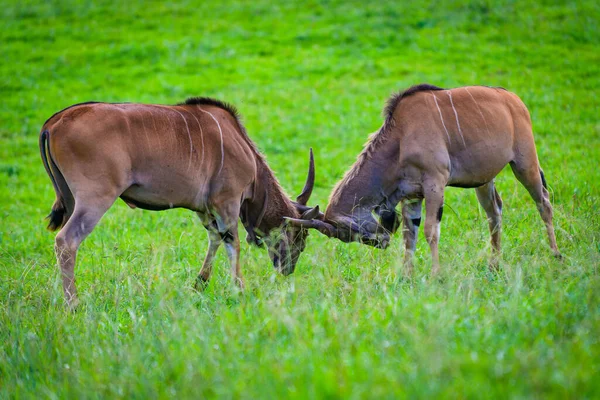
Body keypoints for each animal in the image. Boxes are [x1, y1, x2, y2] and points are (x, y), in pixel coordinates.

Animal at [39, 96, 322, 306]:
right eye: (300, 238)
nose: (287, 269)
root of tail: (53, 122)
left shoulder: (205, 209)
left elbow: (215, 238)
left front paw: (199, 285)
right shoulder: (228, 202)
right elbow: (234, 244)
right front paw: (240, 289)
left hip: (70, 200)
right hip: (95, 199)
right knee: (66, 241)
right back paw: (73, 305)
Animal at [288, 82, 560, 276]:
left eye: (348, 232)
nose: (382, 242)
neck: (400, 137)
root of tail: (513, 99)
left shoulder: (434, 184)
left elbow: (430, 230)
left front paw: (436, 275)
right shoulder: (411, 196)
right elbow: (410, 234)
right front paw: (406, 278)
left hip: (525, 163)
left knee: (544, 202)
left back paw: (556, 255)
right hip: (484, 181)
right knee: (495, 213)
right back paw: (494, 266)